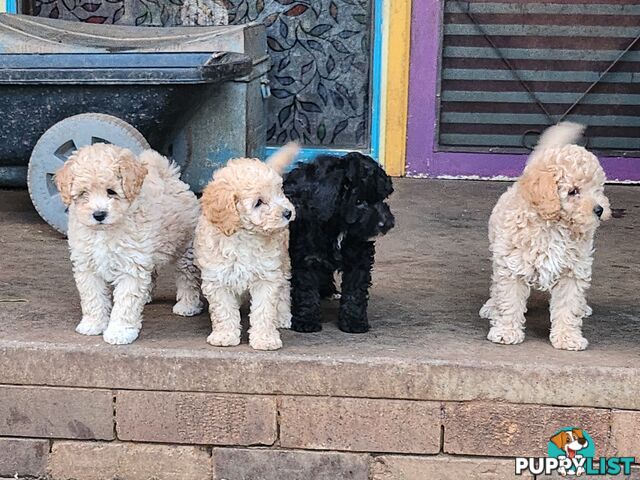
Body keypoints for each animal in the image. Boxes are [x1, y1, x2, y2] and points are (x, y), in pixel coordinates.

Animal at [57, 143, 204, 344]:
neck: (105, 231)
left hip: (185, 248)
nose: (99, 214)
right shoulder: (87, 265)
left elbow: (126, 303)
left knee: (187, 278)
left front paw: (119, 332)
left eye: (111, 192)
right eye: (83, 194)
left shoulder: (131, 266)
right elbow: (92, 297)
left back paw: (187, 305)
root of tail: (168, 175)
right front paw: (93, 324)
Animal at [194, 144, 298, 350]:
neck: (243, 237)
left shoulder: (267, 276)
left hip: (283, 262)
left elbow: (264, 310)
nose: (288, 212)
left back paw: (282, 317)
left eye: (279, 192)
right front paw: (225, 336)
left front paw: (265, 339)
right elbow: (224, 311)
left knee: (284, 288)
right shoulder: (217, 278)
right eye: (258, 202)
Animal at [284, 152, 396, 332]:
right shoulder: (306, 255)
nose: (387, 223)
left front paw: (354, 322)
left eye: (381, 198)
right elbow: (306, 288)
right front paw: (306, 321)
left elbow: (355, 289)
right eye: (358, 202)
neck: (339, 225)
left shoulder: (360, 255)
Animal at [480, 122, 608, 350]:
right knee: (496, 285)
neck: (555, 226)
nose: (599, 210)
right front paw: (506, 331)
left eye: (598, 189)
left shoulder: (573, 270)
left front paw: (568, 337)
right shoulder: (512, 265)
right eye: (573, 191)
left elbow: (569, 305)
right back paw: (491, 306)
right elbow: (508, 300)